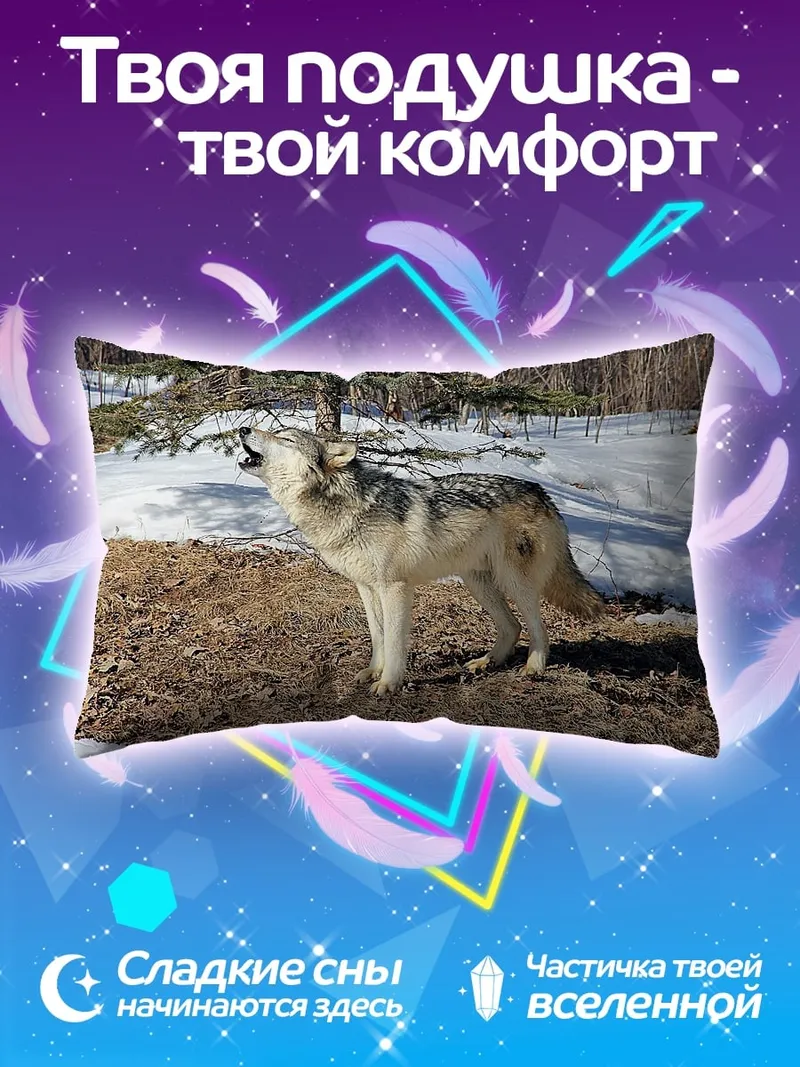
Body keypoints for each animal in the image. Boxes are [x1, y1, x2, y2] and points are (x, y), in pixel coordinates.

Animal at [238, 425, 605, 696]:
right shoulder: (366, 588)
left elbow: (394, 641)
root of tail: (542, 492)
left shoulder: (395, 588)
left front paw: (388, 683)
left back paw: (533, 668)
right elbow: (377, 636)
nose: (243, 428)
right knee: (512, 627)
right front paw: (373, 672)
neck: (346, 506)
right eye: (276, 432)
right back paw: (485, 663)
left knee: (537, 628)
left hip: (515, 582)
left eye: (285, 438)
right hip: (478, 583)